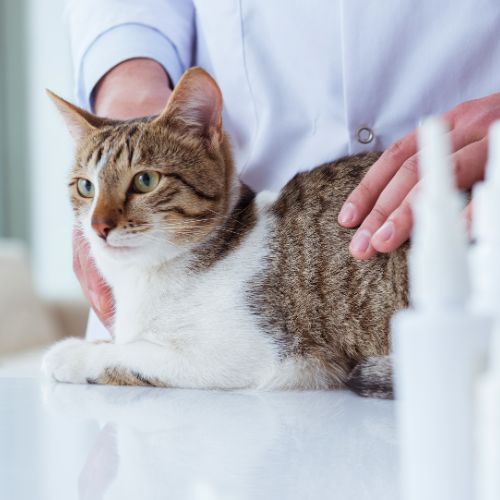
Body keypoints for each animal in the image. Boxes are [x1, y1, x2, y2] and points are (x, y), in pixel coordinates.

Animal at [43, 68, 408, 400]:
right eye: (86, 187)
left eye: (145, 180)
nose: (98, 226)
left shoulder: (245, 355)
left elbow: (132, 352)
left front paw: (73, 352)